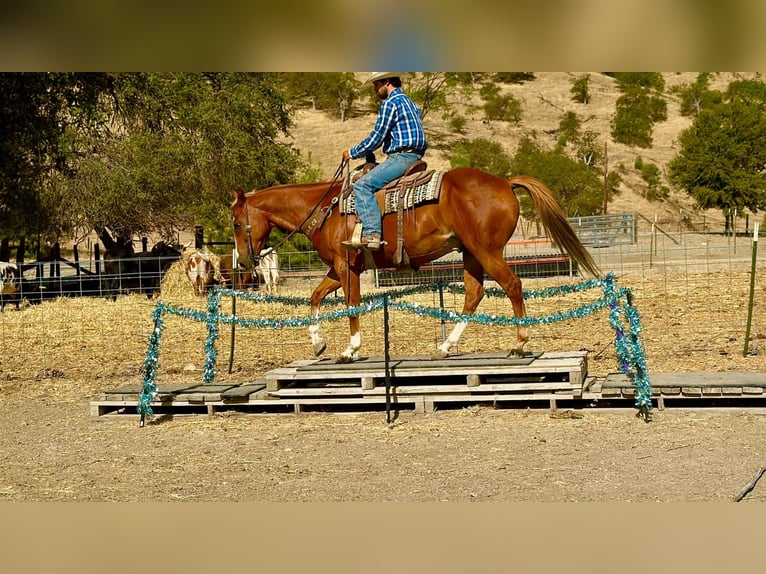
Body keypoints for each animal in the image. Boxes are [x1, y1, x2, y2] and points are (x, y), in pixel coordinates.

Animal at [230, 166, 601, 363]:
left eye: (235, 222)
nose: (246, 261)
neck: (327, 208)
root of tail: (504, 181)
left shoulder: (346, 266)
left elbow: (351, 306)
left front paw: (351, 349)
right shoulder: (337, 269)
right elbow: (316, 297)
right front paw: (318, 342)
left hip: (487, 251)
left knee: (512, 285)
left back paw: (520, 342)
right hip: (471, 254)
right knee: (474, 294)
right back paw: (447, 346)